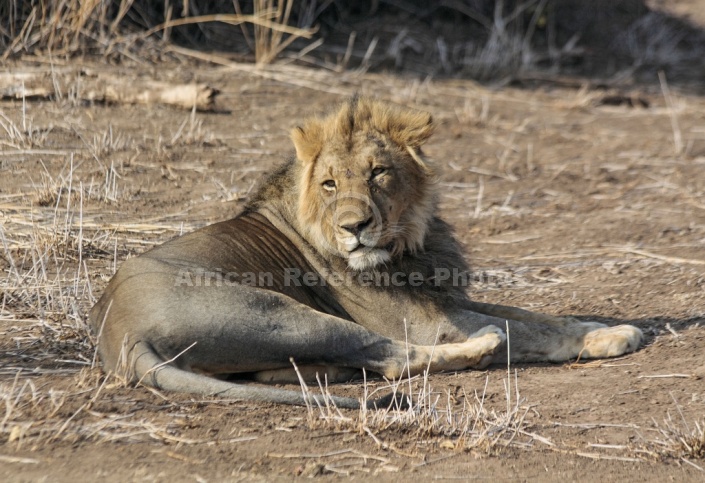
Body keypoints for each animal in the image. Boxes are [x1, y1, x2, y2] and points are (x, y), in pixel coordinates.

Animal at [89, 97, 644, 408]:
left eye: (379, 173)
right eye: (330, 184)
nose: (355, 227)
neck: (406, 242)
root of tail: (120, 335)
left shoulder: (442, 296)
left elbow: (538, 315)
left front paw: (597, 325)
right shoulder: (427, 320)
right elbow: (522, 328)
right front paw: (612, 337)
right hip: (279, 314)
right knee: (395, 358)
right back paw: (482, 345)